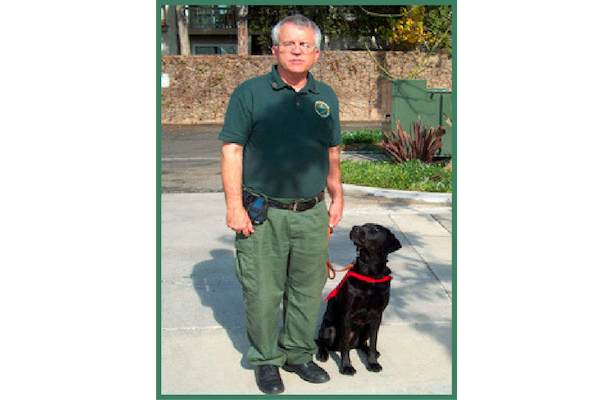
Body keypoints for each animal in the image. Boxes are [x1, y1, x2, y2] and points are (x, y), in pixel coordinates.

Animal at [316, 223, 400, 374]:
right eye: (364, 225)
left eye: (376, 229)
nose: (355, 227)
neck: (370, 273)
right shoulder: (347, 314)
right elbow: (345, 348)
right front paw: (346, 366)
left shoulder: (377, 315)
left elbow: (373, 342)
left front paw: (373, 363)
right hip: (330, 329)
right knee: (323, 343)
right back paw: (322, 354)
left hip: (366, 328)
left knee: (363, 343)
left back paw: (373, 352)